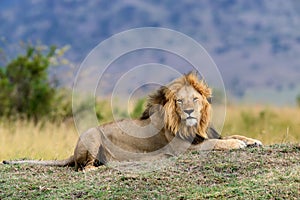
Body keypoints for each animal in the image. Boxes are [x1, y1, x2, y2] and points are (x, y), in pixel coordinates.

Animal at [4, 72, 262, 170]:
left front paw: (252, 140)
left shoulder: (204, 135)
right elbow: (217, 143)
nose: (189, 111)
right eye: (180, 101)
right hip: (91, 134)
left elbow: (232, 134)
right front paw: (237, 145)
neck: (193, 126)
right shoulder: (182, 148)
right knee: (84, 168)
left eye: (195, 99)